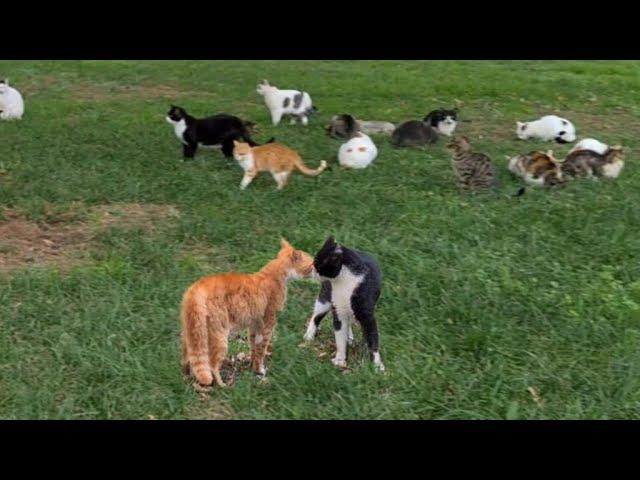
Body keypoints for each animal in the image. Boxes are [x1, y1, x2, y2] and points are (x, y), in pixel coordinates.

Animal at [180, 238, 316, 388]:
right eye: (312, 264)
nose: (318, 269)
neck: (276, 273)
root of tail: (198, 287)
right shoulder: (268, 323)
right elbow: (262, 349)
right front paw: (259, 369)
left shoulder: (254, 324)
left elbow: (253, 347)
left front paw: (252, 366)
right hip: (220, 336)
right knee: (212, 365)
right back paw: (222, 385)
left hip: (193, 334)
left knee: (188, 358)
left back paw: (187, 376)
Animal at [302, 236, 382, 372]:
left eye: (317, 264)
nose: (310, 269)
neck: (343, 282)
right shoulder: (338, 309)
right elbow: (339, 338)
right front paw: (340, 360)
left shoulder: (367, 315)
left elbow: (373, 339)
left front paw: (377, 366)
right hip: (326, 297)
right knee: (316, 315)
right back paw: (309, 335)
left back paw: (349, 337)